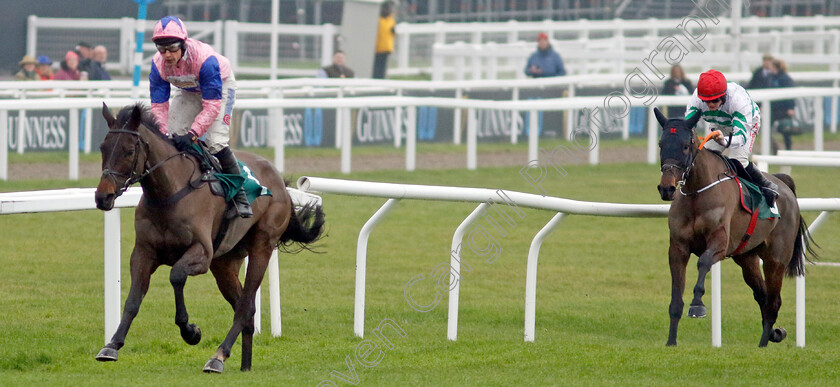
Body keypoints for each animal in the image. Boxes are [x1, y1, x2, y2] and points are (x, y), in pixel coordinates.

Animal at [94, 102, 324, 372]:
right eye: (103, 148)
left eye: (129, 151)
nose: (103, 197)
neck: (168, 194)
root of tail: (279, 182)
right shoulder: (143, 252)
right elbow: (132, 300)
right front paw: (112, 345)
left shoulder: (201, 253)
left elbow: (176, 275)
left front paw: (190, 331)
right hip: (224, 262)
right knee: (246, 307)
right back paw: (245, 365)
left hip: (261, 247)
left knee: (244, 306)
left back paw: (218, 356)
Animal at [652, 107, 816, 348]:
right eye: (661, 144)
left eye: (685, 145)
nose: (667, 188)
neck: (697, 193)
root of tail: (784, 185)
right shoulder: (678, 248)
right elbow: (675, 299)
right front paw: (671, 341)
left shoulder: (719, 243)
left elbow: (703, 262)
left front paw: (697, 305)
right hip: (746, 258)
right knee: (763, 296)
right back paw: (774, 334)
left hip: (776, 259)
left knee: (773, 301)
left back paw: (763, 343)